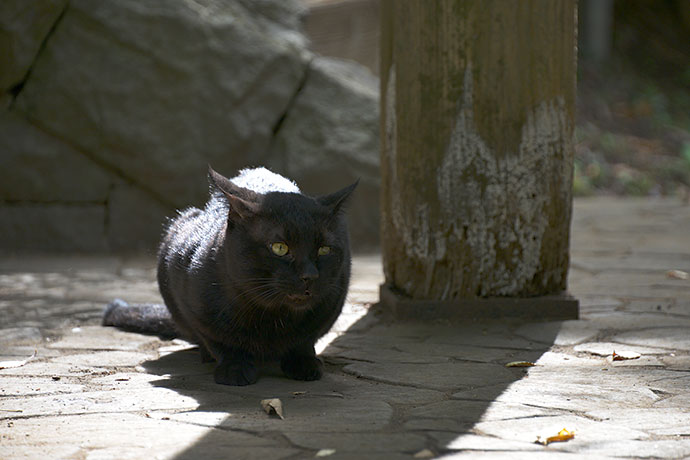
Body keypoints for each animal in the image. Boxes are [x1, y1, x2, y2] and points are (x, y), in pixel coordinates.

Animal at [106, 165, 360, 384]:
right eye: (279, 248)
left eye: (324, 249)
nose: (310, 275)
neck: (271, 318)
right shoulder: (191, 301)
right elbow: (220, 340)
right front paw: (235, 368)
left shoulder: (332, 301)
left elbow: (305, 340)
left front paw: (304, 363)